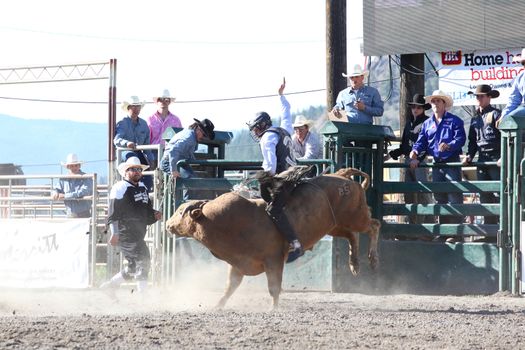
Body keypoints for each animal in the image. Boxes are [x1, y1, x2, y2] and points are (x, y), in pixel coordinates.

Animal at [167, 168, 380, 308]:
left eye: (180, 212)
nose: (168, 224)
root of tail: (343, 176)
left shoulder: (273, 260)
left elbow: (274, 288)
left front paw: (274, 308)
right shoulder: (238, 263)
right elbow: (230, 287)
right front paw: (217, 306)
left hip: (355, 218)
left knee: (373, 225)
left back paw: (372, 259)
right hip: (336, 225)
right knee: (352, 236)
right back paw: (354, 264)